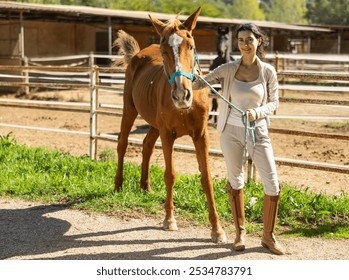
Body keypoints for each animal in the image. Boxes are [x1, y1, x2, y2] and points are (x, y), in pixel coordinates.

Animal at [112, 6, 226, 243]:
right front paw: (169, 220)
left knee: (146, 146)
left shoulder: (201, 135)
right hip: (130, 110)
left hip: (154, 124)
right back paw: (118, 185)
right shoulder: (168, 134)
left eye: (191, 46)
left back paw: (145, 186)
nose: (181, 95)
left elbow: (207, 178)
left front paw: (217, 229)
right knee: (122, 144)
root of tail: (137, 55)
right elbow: (170, 175)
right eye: (165, 49)